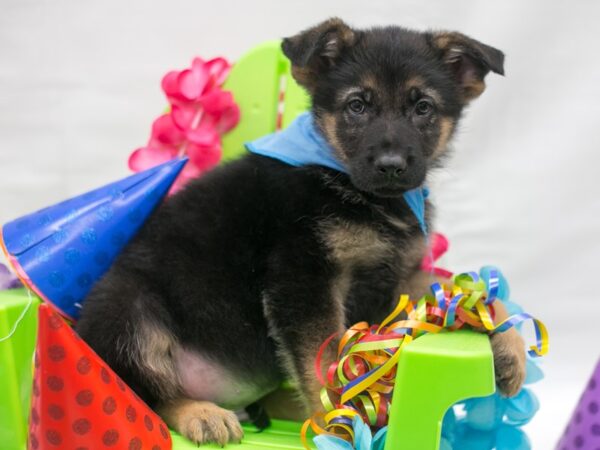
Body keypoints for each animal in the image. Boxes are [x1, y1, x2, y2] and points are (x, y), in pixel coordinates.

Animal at [75, 18, 524, 446]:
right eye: (357, 106)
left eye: (423, 107)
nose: (392, 166)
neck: (357, 192)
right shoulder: (303, 279)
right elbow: (322, 364)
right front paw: (339, 425)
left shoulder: (396, 278)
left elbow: (463, 291)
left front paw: (507, 342)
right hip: (127, 309)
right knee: (142, 390)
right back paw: (200, 413)